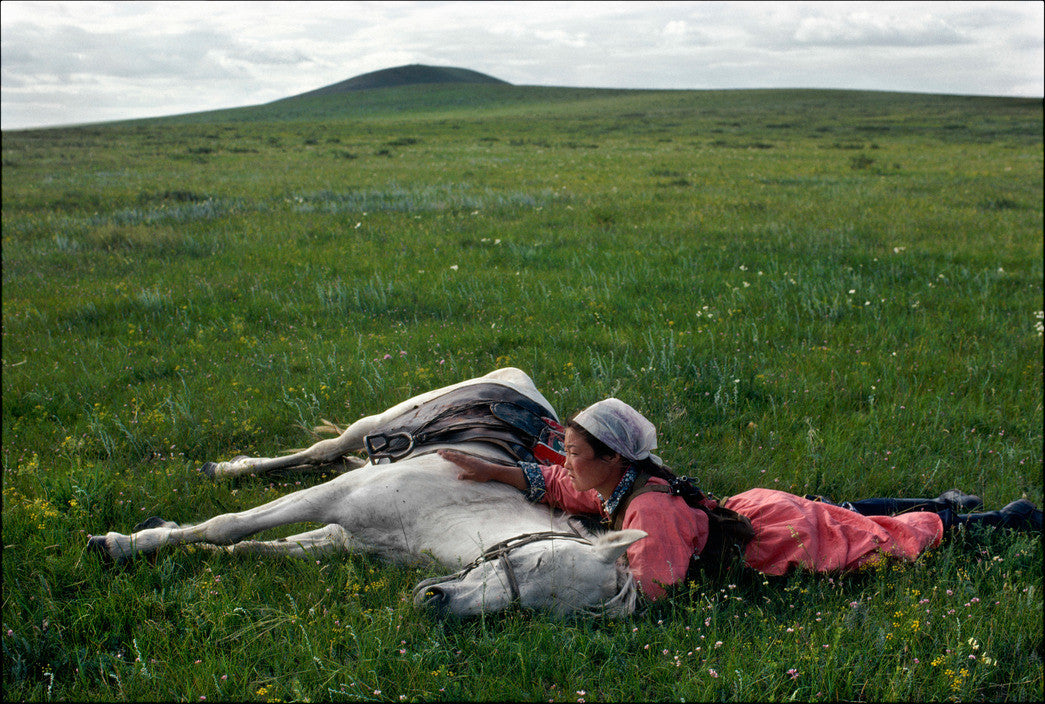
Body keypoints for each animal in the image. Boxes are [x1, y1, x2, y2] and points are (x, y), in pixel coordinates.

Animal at [87, 367, 643, 614]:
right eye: (535, 562)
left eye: (532, 611)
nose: (436, 601)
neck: (453, 509)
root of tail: (521, 384)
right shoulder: (334, 497)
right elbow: (230, 526)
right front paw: (120, 544)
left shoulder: (344, 537)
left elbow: (253, 547)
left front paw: (166, 539)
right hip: (376, 423)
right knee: (325, 448)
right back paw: (226, 469)